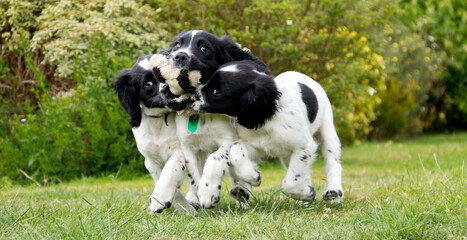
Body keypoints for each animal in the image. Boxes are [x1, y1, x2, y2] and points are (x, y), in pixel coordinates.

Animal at [116, 54, 198, 214]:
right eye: (148, 83)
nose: (168, 89)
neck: (161, 120)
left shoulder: (180, 149)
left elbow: (170, 170)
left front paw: (159, 198)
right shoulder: (150, 160)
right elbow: (162, 179)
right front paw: (184, 209)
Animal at [193, 60, 344, 206]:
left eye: (216, 91)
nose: (191, 93)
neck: (270, 119)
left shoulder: (304, 146)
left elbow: (290, 183)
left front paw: (307, 193)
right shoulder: (253, 144)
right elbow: (236, 152)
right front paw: (253, 176)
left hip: (327, 130)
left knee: (332, 162)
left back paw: (334, 192)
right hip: (287, 155)